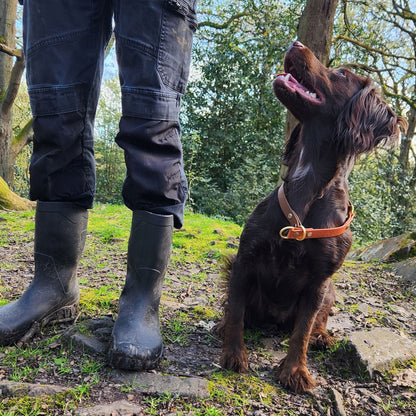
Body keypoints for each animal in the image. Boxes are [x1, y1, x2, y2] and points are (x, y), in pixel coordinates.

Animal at [219, 41, 408, 394]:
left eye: (342, 74)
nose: (295, 43)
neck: (307, 184)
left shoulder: (319, 281)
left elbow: (303, 330)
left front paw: (295, 370)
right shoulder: (244, 259)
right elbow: (235, 310)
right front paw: (233, 353)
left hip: (331, 290)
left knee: (316, 322)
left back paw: (322, 337)